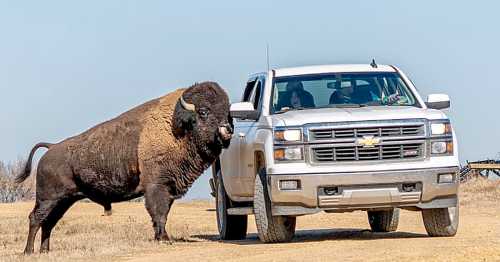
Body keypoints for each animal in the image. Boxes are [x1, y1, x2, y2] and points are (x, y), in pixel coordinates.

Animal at [15, 82, 233, 254]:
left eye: (228, 113)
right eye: (203, 111)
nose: (227, 130)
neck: (176, 126)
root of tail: (51, 148)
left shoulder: (169, 188)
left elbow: (163, 213)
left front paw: (160, 237)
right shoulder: (157, 187)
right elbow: (159, 213)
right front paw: (164, 239)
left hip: (64, 200)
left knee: (49, 222)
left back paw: (45, 251)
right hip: (48, 198)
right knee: (36, 218)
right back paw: (29, 251)